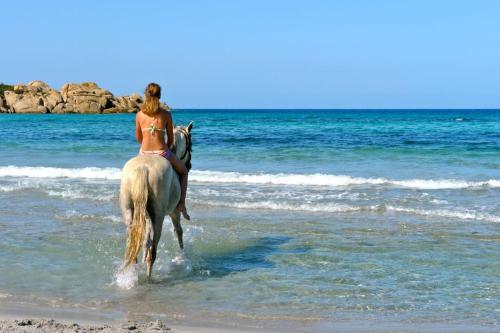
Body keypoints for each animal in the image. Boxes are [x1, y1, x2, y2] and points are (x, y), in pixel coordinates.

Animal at [119, 123, 193, 276]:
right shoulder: (174, 212)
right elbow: (178, 231)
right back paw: (148, 277)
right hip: (159, 217)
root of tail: (143, 168)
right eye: (191, 144)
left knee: (134, 247)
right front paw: (182, 255)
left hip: (129, 212)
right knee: (152, 253)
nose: (189, 165)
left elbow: (145, 241)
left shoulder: (147, 217)